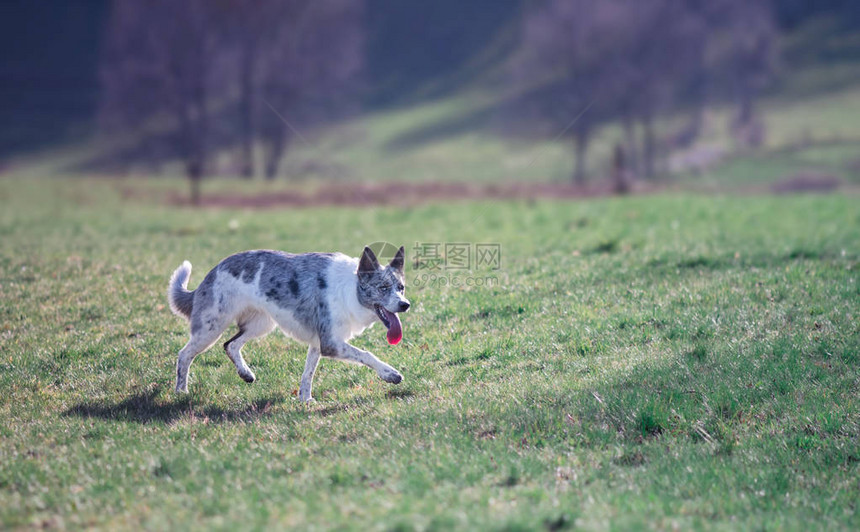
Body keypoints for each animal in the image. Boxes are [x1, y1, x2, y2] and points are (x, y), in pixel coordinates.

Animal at [170, 247, 412, 402]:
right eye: (382, 288)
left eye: (401, 287)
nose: (405, 305)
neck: (351, 288)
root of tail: (212, 271)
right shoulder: (331, 343)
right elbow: (366, 354)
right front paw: (390, 374)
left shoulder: (319, 341)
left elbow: (308, 373)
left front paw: (305, 400)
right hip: (211, 327)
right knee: (184, 354)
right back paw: (181, 391)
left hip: (261, 323)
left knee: (231, 345)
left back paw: (246, 374)